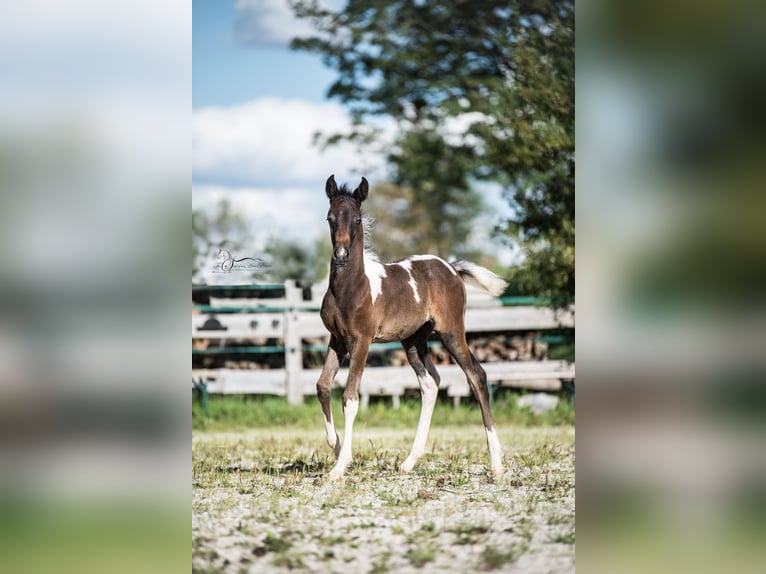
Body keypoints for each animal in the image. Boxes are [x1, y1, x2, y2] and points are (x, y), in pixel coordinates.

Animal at [318, 176, 510, 482]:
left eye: (358, 219)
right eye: (330, 218)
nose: (341, 255)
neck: (351, 288)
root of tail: (451, 268)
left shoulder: (361, 341)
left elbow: (350, 396)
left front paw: (341, 464)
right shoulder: (336, 339)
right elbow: (323, 386)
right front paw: (336, 448)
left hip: (451, 332)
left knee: (476, 376)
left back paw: (496, 464)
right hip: (413, 341)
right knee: (430, 383)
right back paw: (410, 461)